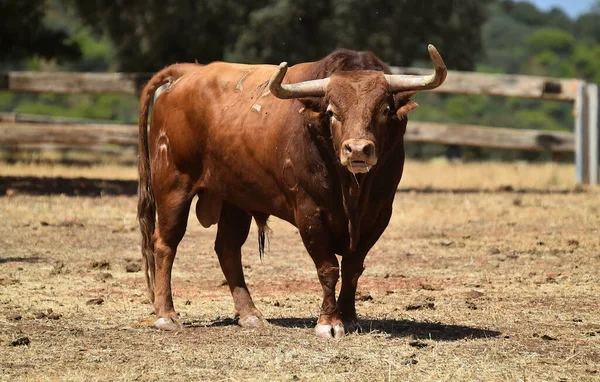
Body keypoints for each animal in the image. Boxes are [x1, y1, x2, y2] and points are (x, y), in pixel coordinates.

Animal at [137, 44, 446, 338]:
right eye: (332, 112)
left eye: (384, 110)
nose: (357, 150)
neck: (352, 191)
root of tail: (187, 73)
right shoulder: (309, 212)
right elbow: (328, 268)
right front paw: (329, 322)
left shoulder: (380, 213)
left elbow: (353, 267)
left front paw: (348, 316)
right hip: (173, 185)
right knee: (165, 244)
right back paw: (166, 315)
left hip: (233, 198)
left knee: (227, 248)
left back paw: (250, 314)